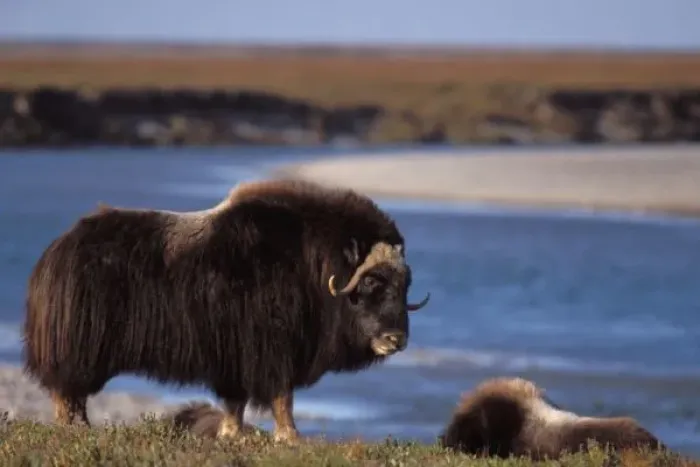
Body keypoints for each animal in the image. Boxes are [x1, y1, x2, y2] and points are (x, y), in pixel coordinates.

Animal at [22, 178, 431, 442]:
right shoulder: (271, 350)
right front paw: (291, 437)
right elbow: (282, 396)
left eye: (404, 284)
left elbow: (236, 400)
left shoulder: (235, 358)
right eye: (371, 282)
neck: (311, 263)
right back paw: (76, 429)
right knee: (67, 389)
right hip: (81, 349)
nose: (396, 339)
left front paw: (232, 434)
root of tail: (56, 250)